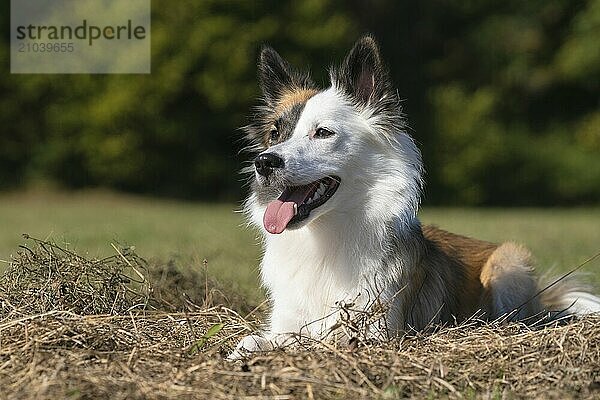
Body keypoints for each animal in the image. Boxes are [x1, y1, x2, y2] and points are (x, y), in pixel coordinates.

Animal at [227, 36, 596, 358]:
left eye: (323, 132)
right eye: (275, 133)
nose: (264, 162)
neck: (325, 237)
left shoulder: (376, 330)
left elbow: (323, 339)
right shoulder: (287, 320)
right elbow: (257, 341)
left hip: (509, 262)